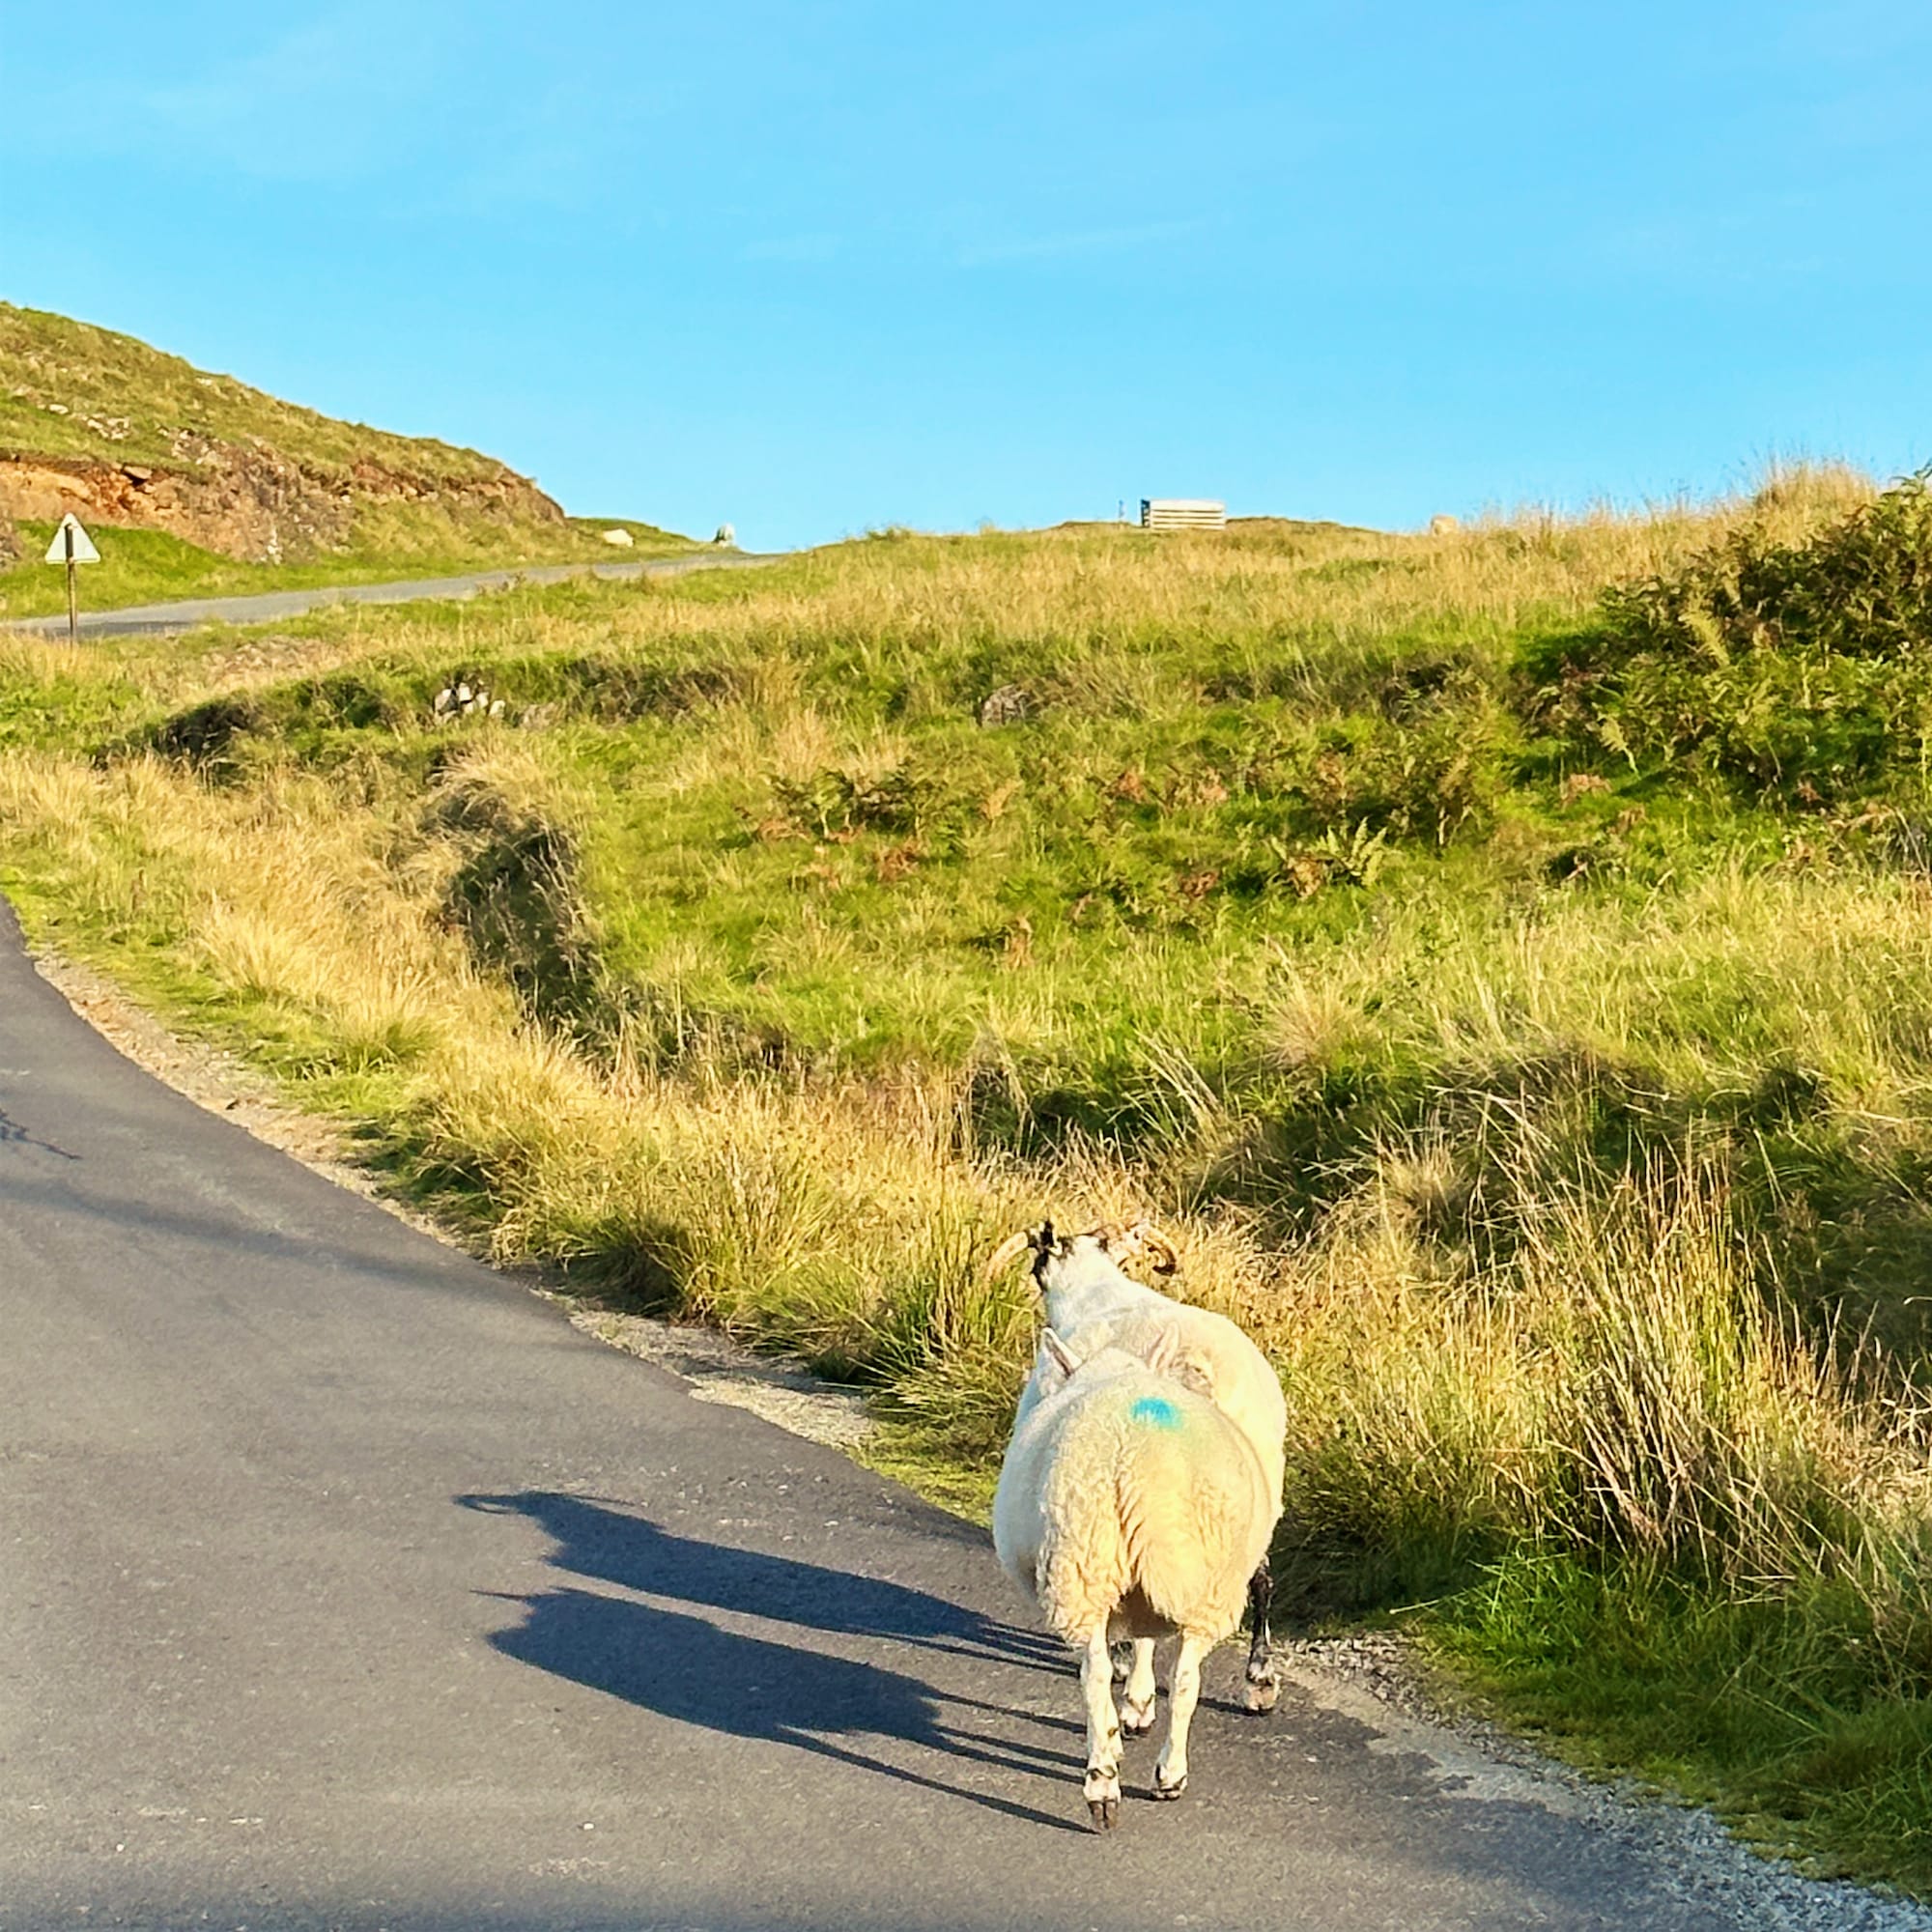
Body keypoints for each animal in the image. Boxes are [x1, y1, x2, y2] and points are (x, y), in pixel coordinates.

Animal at [997, 1221, 1283, 1723]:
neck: (1095, 1287)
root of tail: (1197, 1364)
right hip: (1251, 1491)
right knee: (1262, 1580)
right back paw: (1260, 1680)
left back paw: (1137, 1697)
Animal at [997, 1329, 1283, 1824]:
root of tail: (1135, 1457)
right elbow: (1143, 1645)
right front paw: (1134, 1711)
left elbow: (1130, 1648)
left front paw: (1126, 1718)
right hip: (1186, 1582)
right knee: (1184, 1680)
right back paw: (1163, 1777)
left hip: (1084, 1569)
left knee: (1095, 1674)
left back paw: (1105, 1781)